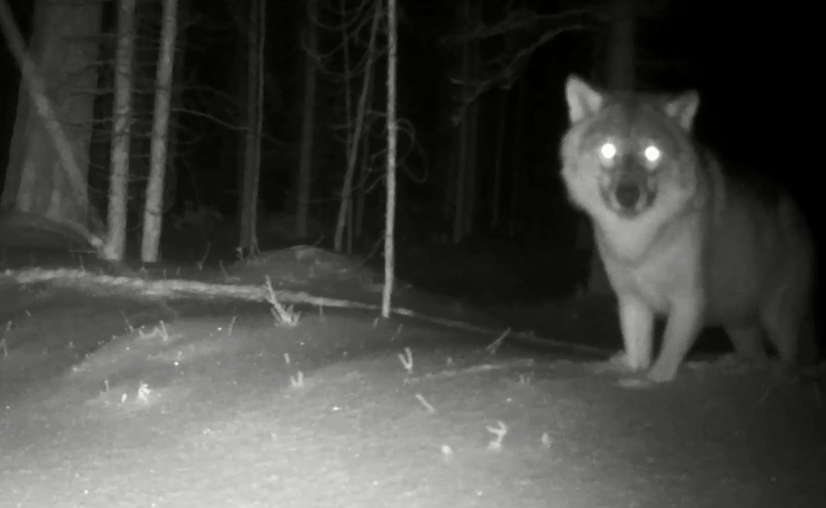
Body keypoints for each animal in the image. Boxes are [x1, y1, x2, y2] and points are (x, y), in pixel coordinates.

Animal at [559, 75, 816, 383]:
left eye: (652, 153)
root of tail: (795, 206)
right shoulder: (633, 302)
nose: (628, 195)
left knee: (790, 357)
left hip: (775, 315)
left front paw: (652, 384)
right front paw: (632, 377)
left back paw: (781, 377)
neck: (640, 239)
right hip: (739, 324)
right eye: (608, 150)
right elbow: (637, 356)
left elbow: (666, 361)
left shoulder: (689, 302)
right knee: (758, 357)